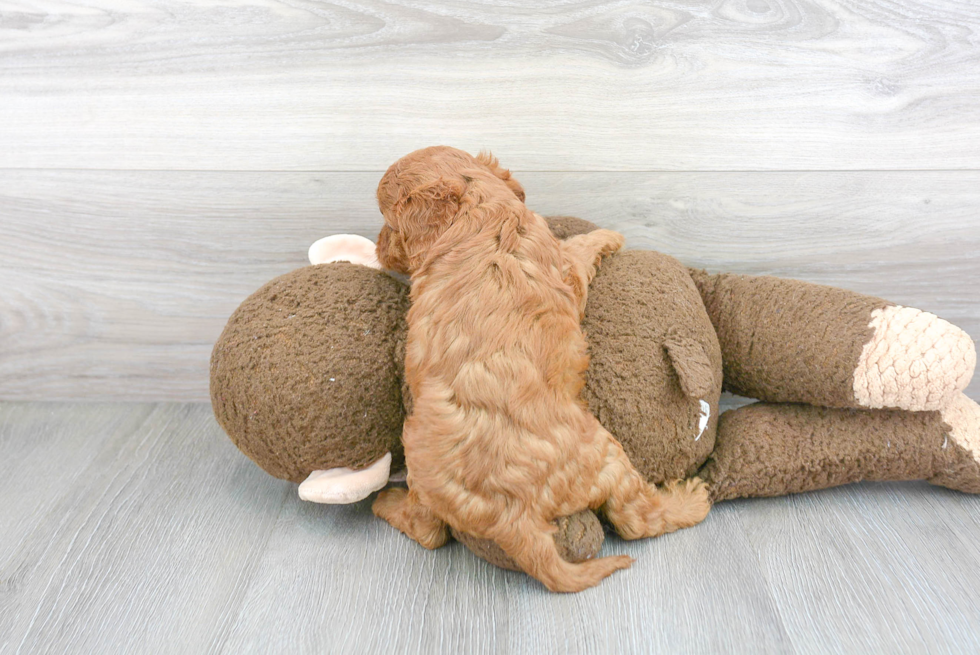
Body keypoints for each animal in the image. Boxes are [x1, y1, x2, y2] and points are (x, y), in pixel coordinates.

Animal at [372, 147, 708, 596]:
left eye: (389, 224)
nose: (377, 247)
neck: (480, 209)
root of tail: (513, 519)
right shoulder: (566, 268)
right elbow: (580, 248)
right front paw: (609, 236)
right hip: (608, 458)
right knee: (637, 519)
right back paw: (692, 499)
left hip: (423, 478)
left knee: (428, 531)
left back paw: (385, 503)